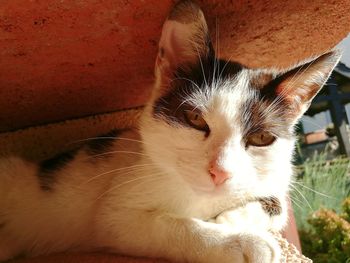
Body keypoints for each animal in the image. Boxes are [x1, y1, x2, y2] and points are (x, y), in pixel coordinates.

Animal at [0, 0, 340, 263]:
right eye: (195, 119)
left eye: (261, 138)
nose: (220, 172)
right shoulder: (117, 214)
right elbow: (171, 225)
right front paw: (239, 241)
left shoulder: (278, 177)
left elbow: (277, 204)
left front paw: (229, 219)